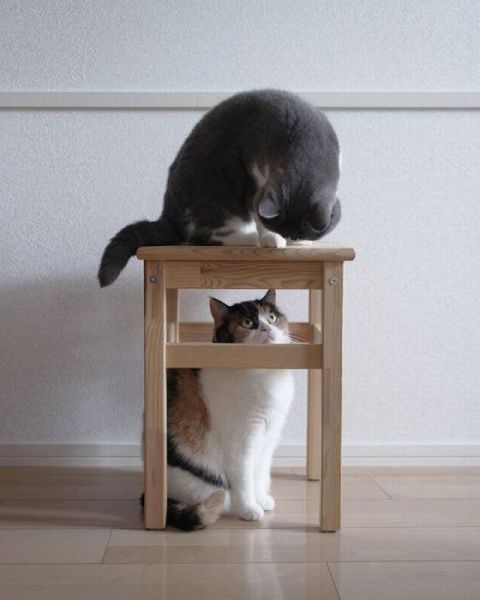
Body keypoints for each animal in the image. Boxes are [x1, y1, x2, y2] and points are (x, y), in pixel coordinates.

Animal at [98, 89, 341, 287]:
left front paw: (297, 241)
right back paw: (251, 237)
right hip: (214, 201)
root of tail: (168, 215)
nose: (286, 237)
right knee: (202, 236)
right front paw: (271, 239)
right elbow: (256, 210)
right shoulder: (251, 176)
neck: (304, 145)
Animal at [144, 289, 295, 530]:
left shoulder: (269, 435)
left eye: (271, 317)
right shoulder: (241, 441)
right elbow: (244, 477)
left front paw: (262, 500)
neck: (264, 375)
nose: (267, 328)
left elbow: (260, 472)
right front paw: (249, 509)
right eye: (247, 323)